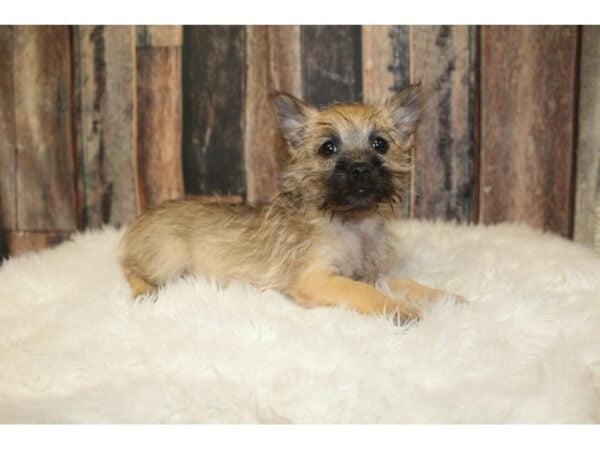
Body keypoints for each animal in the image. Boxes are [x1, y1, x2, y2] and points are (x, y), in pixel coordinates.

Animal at [118, 84, 454, 322]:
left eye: (380, 144)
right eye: (327, 148)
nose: (360, 168)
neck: (351, 222)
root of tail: (140, 221)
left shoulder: (375, 274)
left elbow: (406, 282)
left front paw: (442, 296)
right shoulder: (317, 278)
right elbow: (362, 292)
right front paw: (400, 309)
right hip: (168, 257)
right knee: (130, 269)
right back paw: (145, 291)